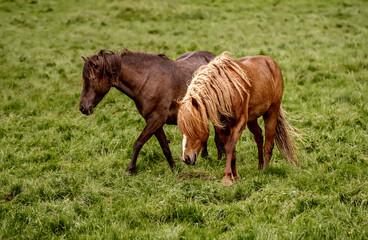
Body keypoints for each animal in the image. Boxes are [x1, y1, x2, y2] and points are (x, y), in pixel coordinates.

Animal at [78, 48, 216, 172]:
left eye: (92, 79)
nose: (82, 107)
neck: (147, 81)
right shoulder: (154, 122)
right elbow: (165, 147)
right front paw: (174, 169)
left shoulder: (156, 120)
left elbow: (138, 143)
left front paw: (131, 169)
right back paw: (204, 154)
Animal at [177, 53, 300, 186]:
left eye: (193, 128)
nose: (186, 159)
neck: (226, 91)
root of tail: (271, 62)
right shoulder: (222, 127)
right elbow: (231, 150)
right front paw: (234, 177)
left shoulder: (239, 123)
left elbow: (229, 147)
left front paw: (227, 177)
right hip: (252, 119)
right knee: (259, 137)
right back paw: (260, 166)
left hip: (272, 111)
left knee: (268, 143)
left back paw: (265, 170)